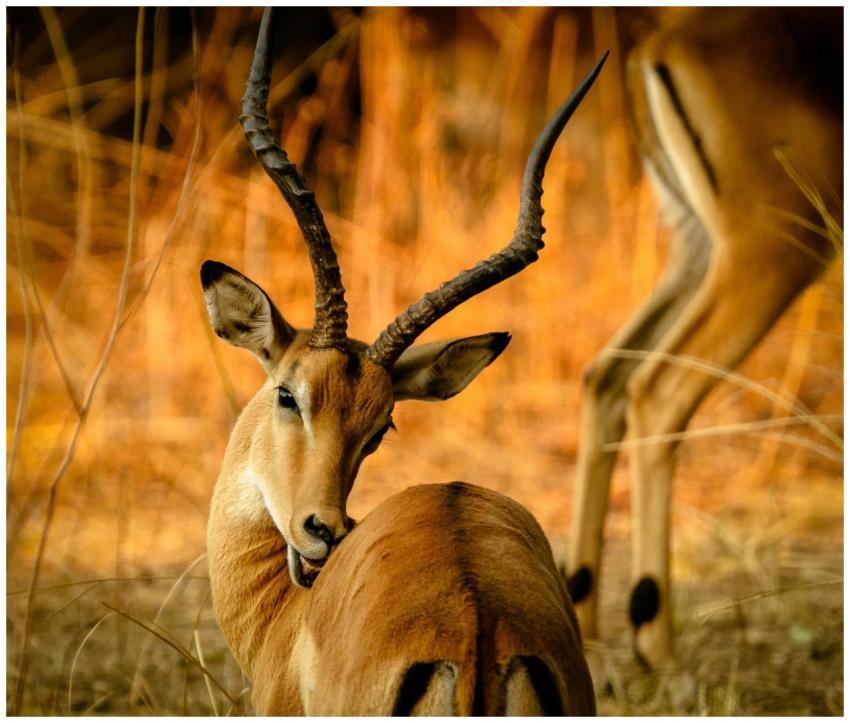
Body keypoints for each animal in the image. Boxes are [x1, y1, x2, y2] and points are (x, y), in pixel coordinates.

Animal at [566, 7, 842, 669]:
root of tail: (664, 42)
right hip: (775, 252)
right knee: (656, 392)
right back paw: (656, 646)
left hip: (697, 249)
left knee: (606, 376)